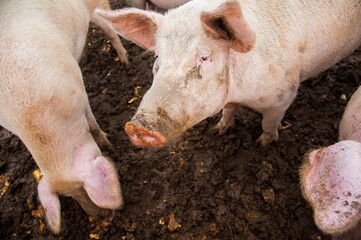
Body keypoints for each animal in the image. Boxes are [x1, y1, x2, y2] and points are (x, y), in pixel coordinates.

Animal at [0, 0, 125, 234]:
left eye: (84, 189)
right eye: (70, 196)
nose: (103, 221)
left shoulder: (79, 93)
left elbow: (93, 125)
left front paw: (110, 146)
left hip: (98, 8)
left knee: (110, 30)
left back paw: (125, 62)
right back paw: (84, 59)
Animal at [96, 0, 360, 147]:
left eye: (204, 58)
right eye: (158, 57)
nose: (138, 127)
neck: (240, 91)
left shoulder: (284, 95)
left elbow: (268, 123)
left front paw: (263, 144)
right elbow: (229, 110)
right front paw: (220, 129)